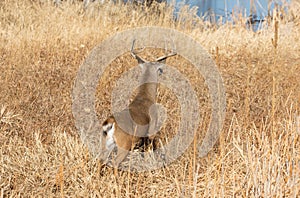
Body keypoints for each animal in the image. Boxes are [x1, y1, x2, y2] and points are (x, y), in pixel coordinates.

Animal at [101, 39, 176, 169]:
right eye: (159, 70)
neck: (145, 97)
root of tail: (110, 123)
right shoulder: (151, 130)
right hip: (124, 144)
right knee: (115, 163)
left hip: (106, 144)